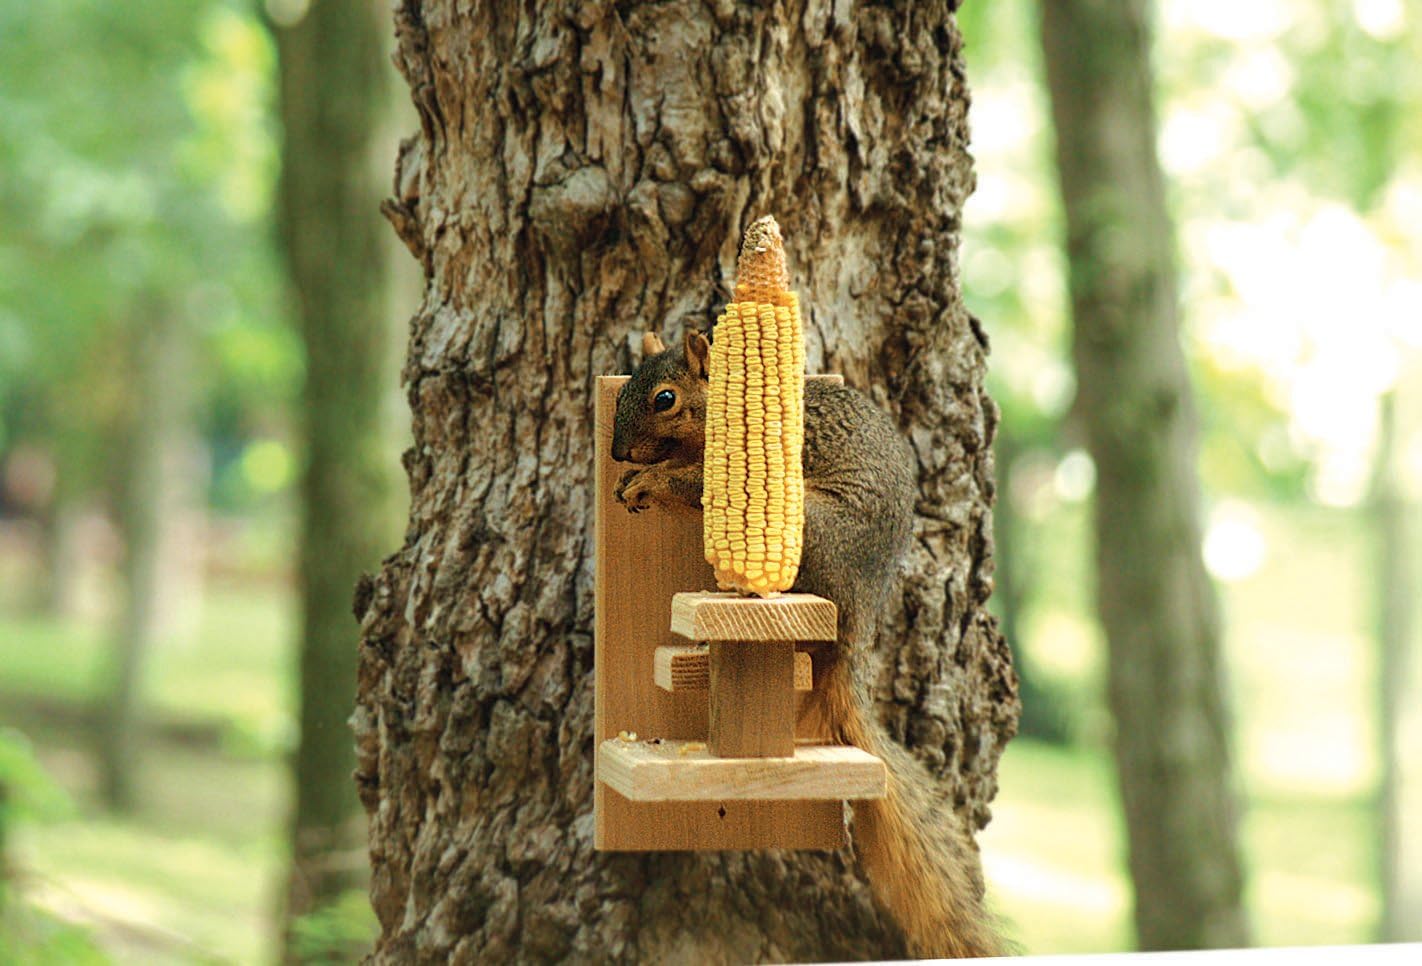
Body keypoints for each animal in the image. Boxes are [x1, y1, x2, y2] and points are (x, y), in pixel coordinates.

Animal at [611, 327, 1006, 959]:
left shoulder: (738, 476)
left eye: (664, 399)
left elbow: (692, 482)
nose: (619, 454)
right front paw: (635, 482)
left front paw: (652, 480)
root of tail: (856, 620)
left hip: (807, 526)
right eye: (624, 389)